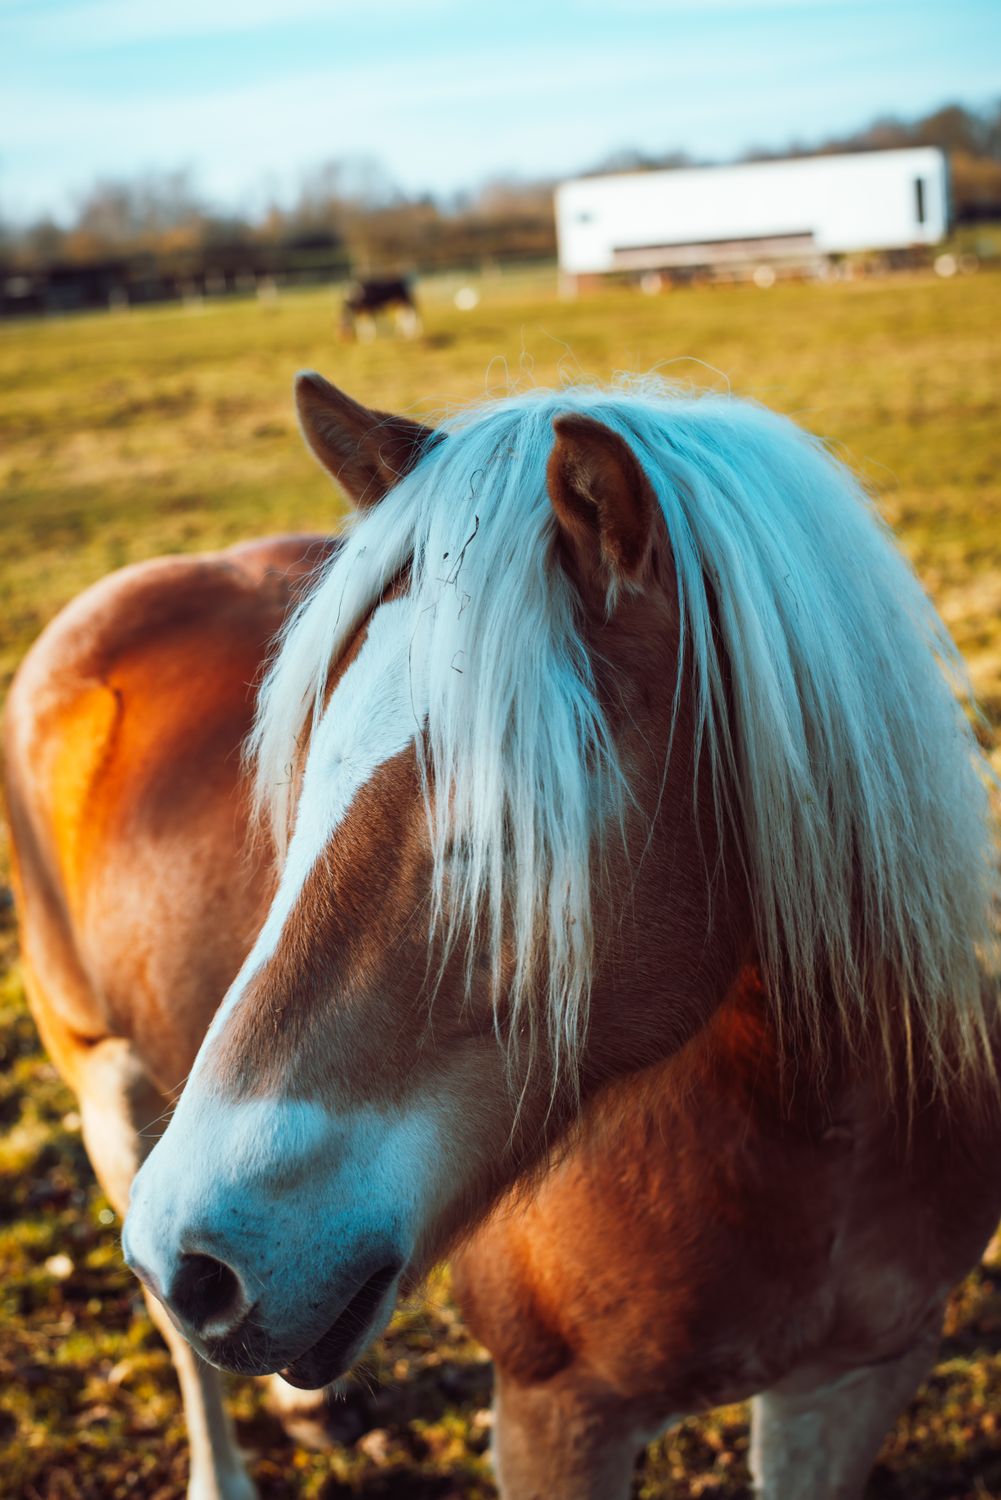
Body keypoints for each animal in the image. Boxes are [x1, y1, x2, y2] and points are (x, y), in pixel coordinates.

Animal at [4, 371, 999, 1500]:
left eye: (510, 829)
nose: (194, 1259)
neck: (812, 1139)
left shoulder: (852, 1381)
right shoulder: (554, 1415)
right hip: (105, 1093)